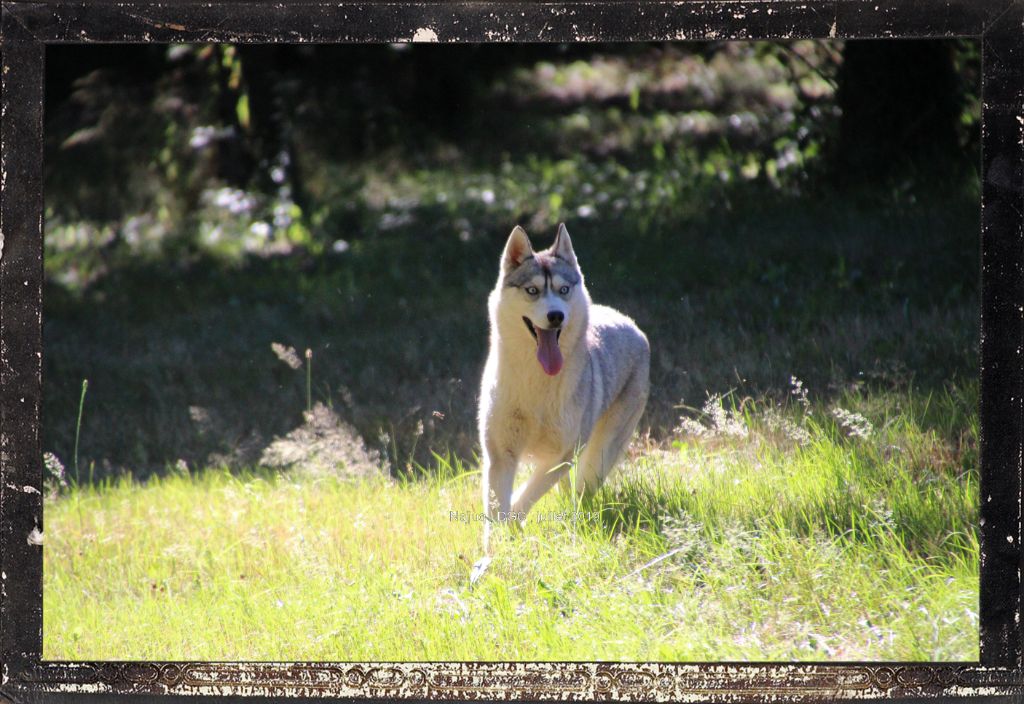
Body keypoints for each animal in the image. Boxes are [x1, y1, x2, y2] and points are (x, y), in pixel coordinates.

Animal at [477, 223, 647, 548]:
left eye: (563, 290)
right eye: (532, 291)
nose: (556, 316)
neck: (536, 382)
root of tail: (628, 321)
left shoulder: (561, 456)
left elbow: (521, 500)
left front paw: (512, 531)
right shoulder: (501, 454)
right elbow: (498, 509)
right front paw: (495, 551)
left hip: (597, 458)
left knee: (581, 491)